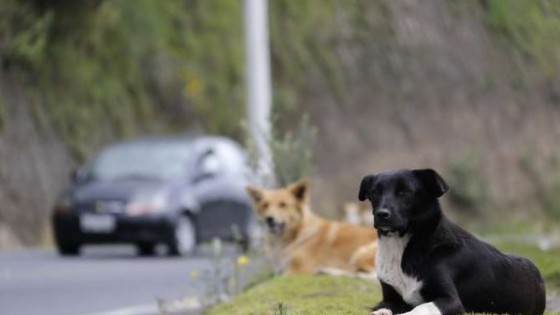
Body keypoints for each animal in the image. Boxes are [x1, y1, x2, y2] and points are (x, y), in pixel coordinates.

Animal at [245, 179, 376, 278]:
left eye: (283, 205)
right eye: (265, 205)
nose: (269, 218)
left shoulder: (296, 271)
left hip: (360, 254)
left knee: (367, 275)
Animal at [358, 169, 548, 315]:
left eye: (404, 191)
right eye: (375, 192)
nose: (382, 214)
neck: (402, 245)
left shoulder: (451, 301)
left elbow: (420, 309)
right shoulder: (390, 298)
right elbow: (383, 307)